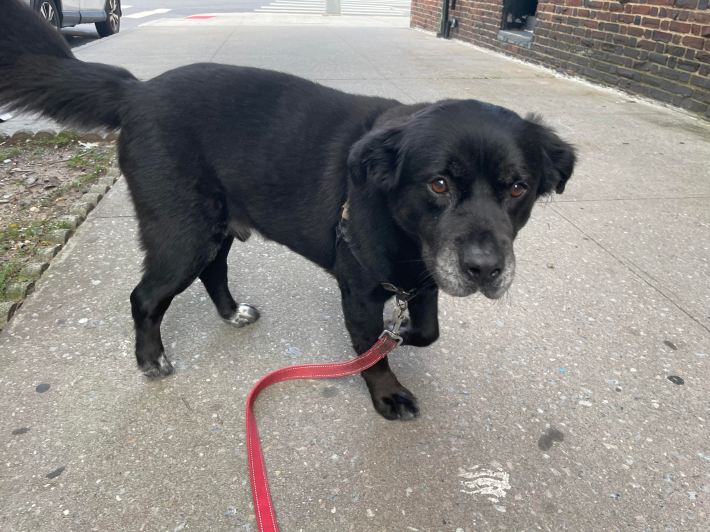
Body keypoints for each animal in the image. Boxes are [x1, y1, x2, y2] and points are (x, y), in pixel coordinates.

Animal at [0, 2, 576, 422]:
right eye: (438, 183)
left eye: (518, 188)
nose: (484, 269)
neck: (397, 219)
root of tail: (136, 92)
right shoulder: (360, 289)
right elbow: (373, 351)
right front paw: (386, 391)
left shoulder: (423, 278)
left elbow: (423, 328)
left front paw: (405, 334)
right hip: (182, 233)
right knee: (145, 297)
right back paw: (151, 360)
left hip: (214, 228)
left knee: (213, 271)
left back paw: (231, 312)